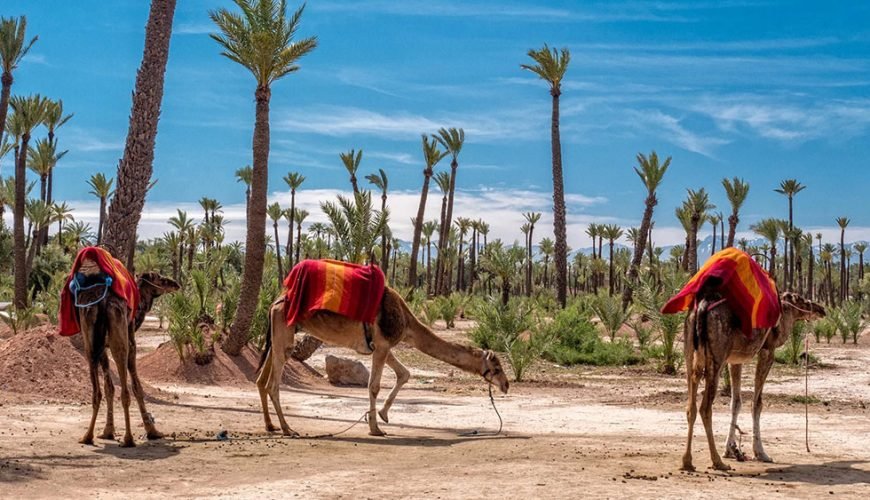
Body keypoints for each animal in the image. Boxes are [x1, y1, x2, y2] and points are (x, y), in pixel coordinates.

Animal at [76, 269, 180, 447]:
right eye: (159, 278)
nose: (176, 284)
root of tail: (102, 303)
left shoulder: (102, 348)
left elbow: (109, 388)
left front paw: (108, 432)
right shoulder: (132, 343)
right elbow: (137, 387)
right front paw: (153, 432)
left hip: (89, 342)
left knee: (96, 392)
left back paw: (87, 436)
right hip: (120, 339)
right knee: (125, 391)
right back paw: (128, 438)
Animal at [257, 286, 510, 437]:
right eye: (497, 367)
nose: (506, 385)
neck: (407, 322)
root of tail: (274, 303)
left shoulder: (383, 346)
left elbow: (404, 373)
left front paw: (382, 415)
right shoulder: (382, 344)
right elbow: (374, 386)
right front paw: (375, 428)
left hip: (278, 336)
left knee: (261, 380)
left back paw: (270, 426)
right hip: (284, 334)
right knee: (272, 383)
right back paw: (288, 429)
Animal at [682, 291, 825, 471]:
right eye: (802, 300)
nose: (821, 309)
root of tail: (700, 308)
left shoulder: (735, 359)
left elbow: (735, 403)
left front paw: (730, 449)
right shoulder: (767, 351)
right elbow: (757, 403)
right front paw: (761, 453)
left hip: (690, 352)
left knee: (691, 406)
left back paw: (687, 461)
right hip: (717, 357)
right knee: (705, 408)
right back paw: (717, 462)